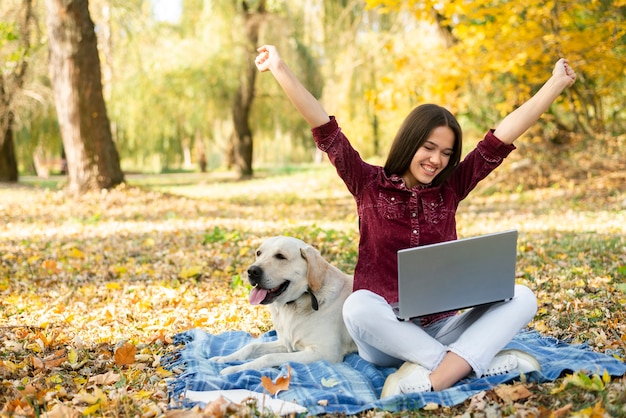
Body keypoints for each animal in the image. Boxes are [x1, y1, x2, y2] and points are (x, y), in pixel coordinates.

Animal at [211, 237, 354, 374]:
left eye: (280, 256)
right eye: (258, 253)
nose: (251, 271)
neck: (292, 304)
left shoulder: (325, 353)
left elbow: (269, 357)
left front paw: (236, 369)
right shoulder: (285, 343)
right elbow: (251, 346)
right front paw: (225, 358)